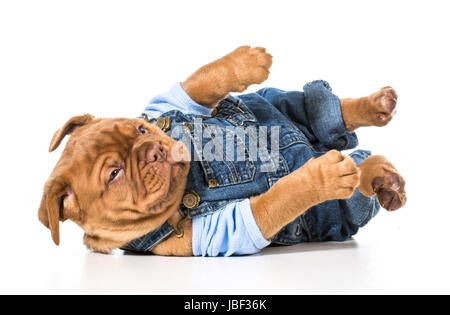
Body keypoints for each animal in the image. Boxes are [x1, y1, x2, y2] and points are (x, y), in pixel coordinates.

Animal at [38, 47, 406, 260]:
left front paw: (246, 60)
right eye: (114, 174)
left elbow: (199, 83)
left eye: (142, 130)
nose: (154, 150)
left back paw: (377, 106)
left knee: (320, 108)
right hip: (332, 215)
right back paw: (379, 176)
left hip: (272, 100)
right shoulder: (226, 228)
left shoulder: (166, 106)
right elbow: (281, 196)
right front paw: (321, 176)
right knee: (355, 192)